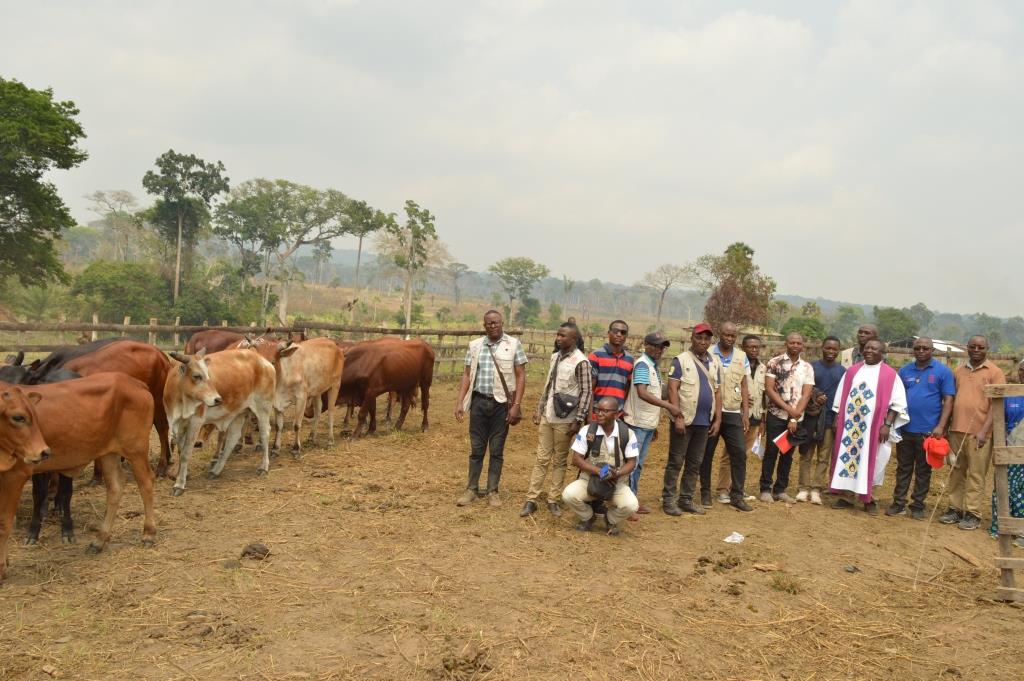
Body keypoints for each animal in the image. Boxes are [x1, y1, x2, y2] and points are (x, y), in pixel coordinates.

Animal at [0, 372, 155, 577]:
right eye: (19, 417)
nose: (43, 452)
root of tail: (135, 382)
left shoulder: (15, 475)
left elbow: (4, 524)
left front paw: (2, 568)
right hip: (108, 453)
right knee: (115, 487)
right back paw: (99, 541)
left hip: (136, 449)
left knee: (146, 483)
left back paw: (148, 533)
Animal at [163, 346, 276, 493]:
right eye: (196, 376)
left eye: (209, 375)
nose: (218, 399)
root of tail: (264, 362)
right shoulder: (176, 422)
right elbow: (181, 450)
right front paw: (183, 475)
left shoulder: (195, 422)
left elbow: (186, 453)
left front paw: (179, 484)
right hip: (238, 412)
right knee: (233, 438)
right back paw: (216, 471)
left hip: (263, 407)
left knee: (265, 433)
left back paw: (263, 467)